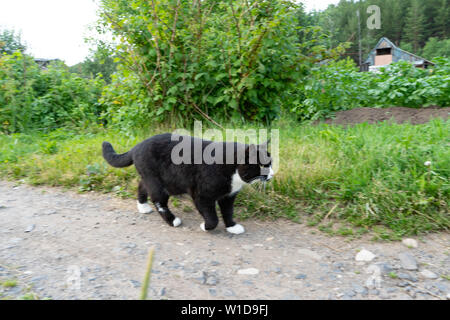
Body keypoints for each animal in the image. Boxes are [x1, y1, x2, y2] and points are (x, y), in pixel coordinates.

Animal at [102, 132, 272, 235]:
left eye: (271, 163)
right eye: (263, 165)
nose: (271, 174)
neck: (232, 168)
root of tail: (137, 146)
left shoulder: (228, 196)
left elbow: (228, 211)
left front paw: (232, 226)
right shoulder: (201, 195)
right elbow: (212, 217)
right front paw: (205, 226)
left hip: (158, 180)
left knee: (142, 186)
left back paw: (143, 207)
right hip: (158, 183)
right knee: (158, 200)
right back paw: (172, 220)